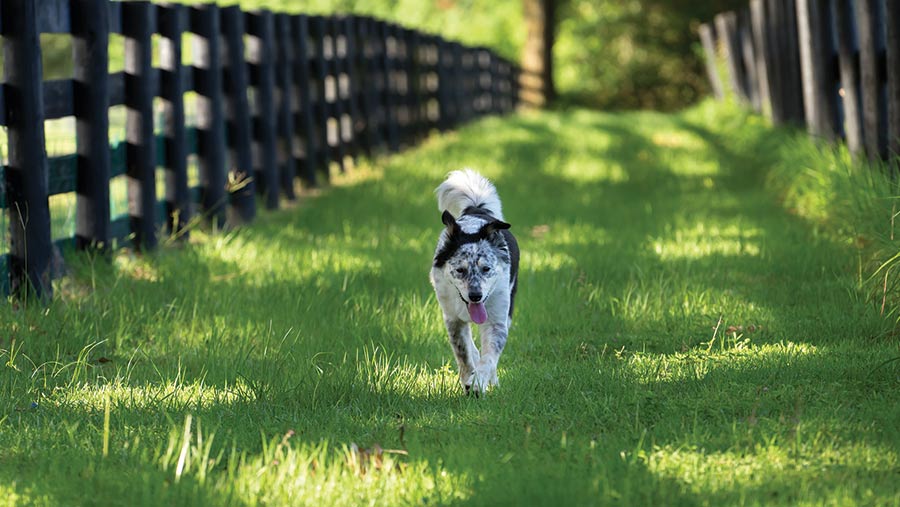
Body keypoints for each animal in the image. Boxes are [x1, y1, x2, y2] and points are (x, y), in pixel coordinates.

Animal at [430, 169, 520, 394]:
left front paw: (479, 383)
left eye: (486, 269)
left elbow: (489, 358)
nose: (475, 296)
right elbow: (463, 353)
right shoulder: (453, 319)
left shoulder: (497, 319)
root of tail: (477, 208)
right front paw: (468, 380)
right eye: (460, 270)